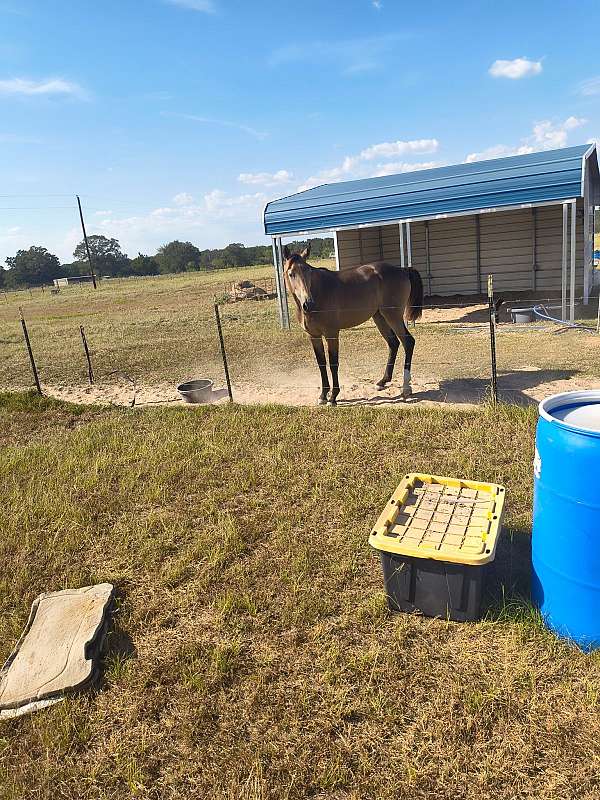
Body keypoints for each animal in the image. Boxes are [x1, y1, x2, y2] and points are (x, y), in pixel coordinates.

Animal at [282, 244, 424, 406]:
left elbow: (333, 363)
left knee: (408, 342)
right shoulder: (314, 336)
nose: (308, 303)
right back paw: (382, 382)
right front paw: (323, 396)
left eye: (308, 272)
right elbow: (321, 363)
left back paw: (406, 387)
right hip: (380, 317)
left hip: (393, 317)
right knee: (393, 343)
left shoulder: (331, 334)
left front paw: (333, 397)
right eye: (291, 273)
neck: (319, 293)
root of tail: (402, 270)